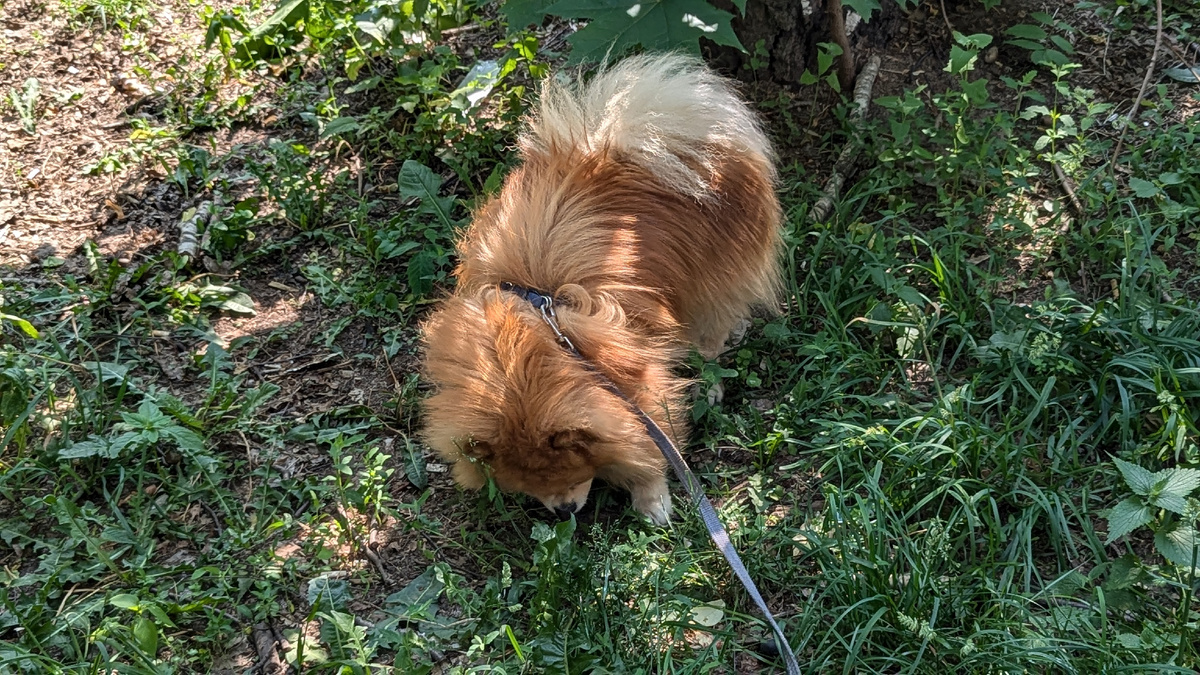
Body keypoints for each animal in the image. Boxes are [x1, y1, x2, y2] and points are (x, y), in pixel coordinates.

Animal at [420, 54, 782, 525]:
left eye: (574, 474)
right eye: (531, 487)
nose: (564, 511)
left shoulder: (639, 383)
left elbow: (649, 446)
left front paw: (652, 501)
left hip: (713, 276)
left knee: (713, 330)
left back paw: (711, 377)